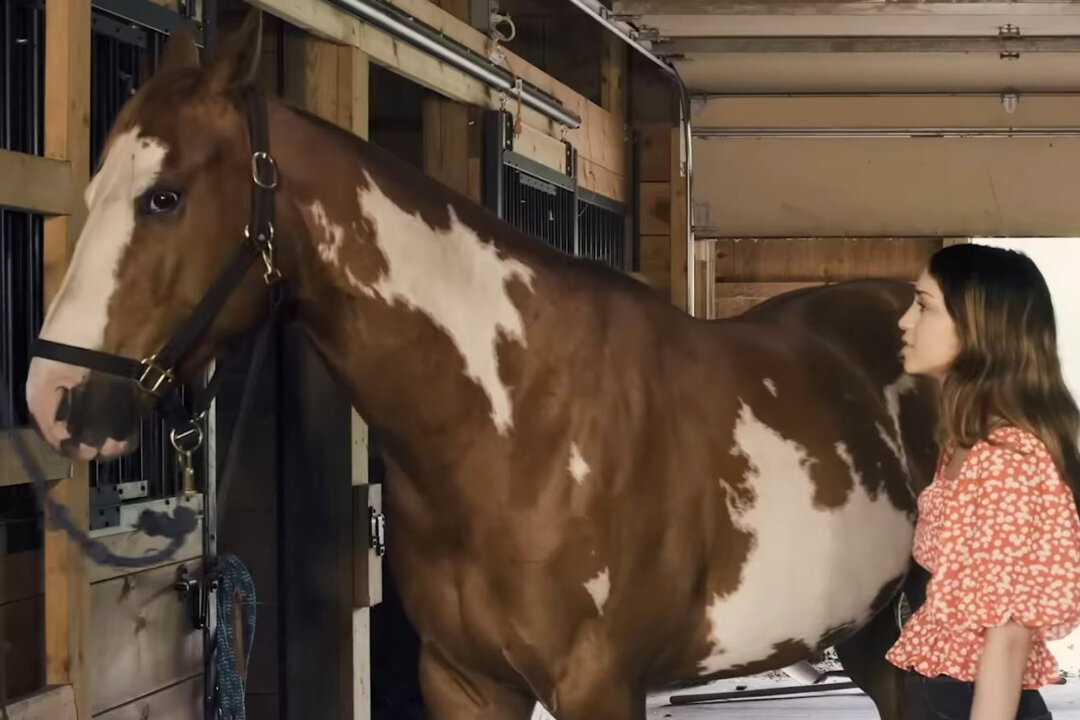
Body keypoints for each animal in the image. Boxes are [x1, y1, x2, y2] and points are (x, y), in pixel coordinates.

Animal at [23, 11, 941, 719]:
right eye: (96, 188)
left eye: (165, 196)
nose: (52, 397)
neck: (516, 421)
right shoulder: (464, 680)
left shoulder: (600, 684)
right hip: (878, 633)